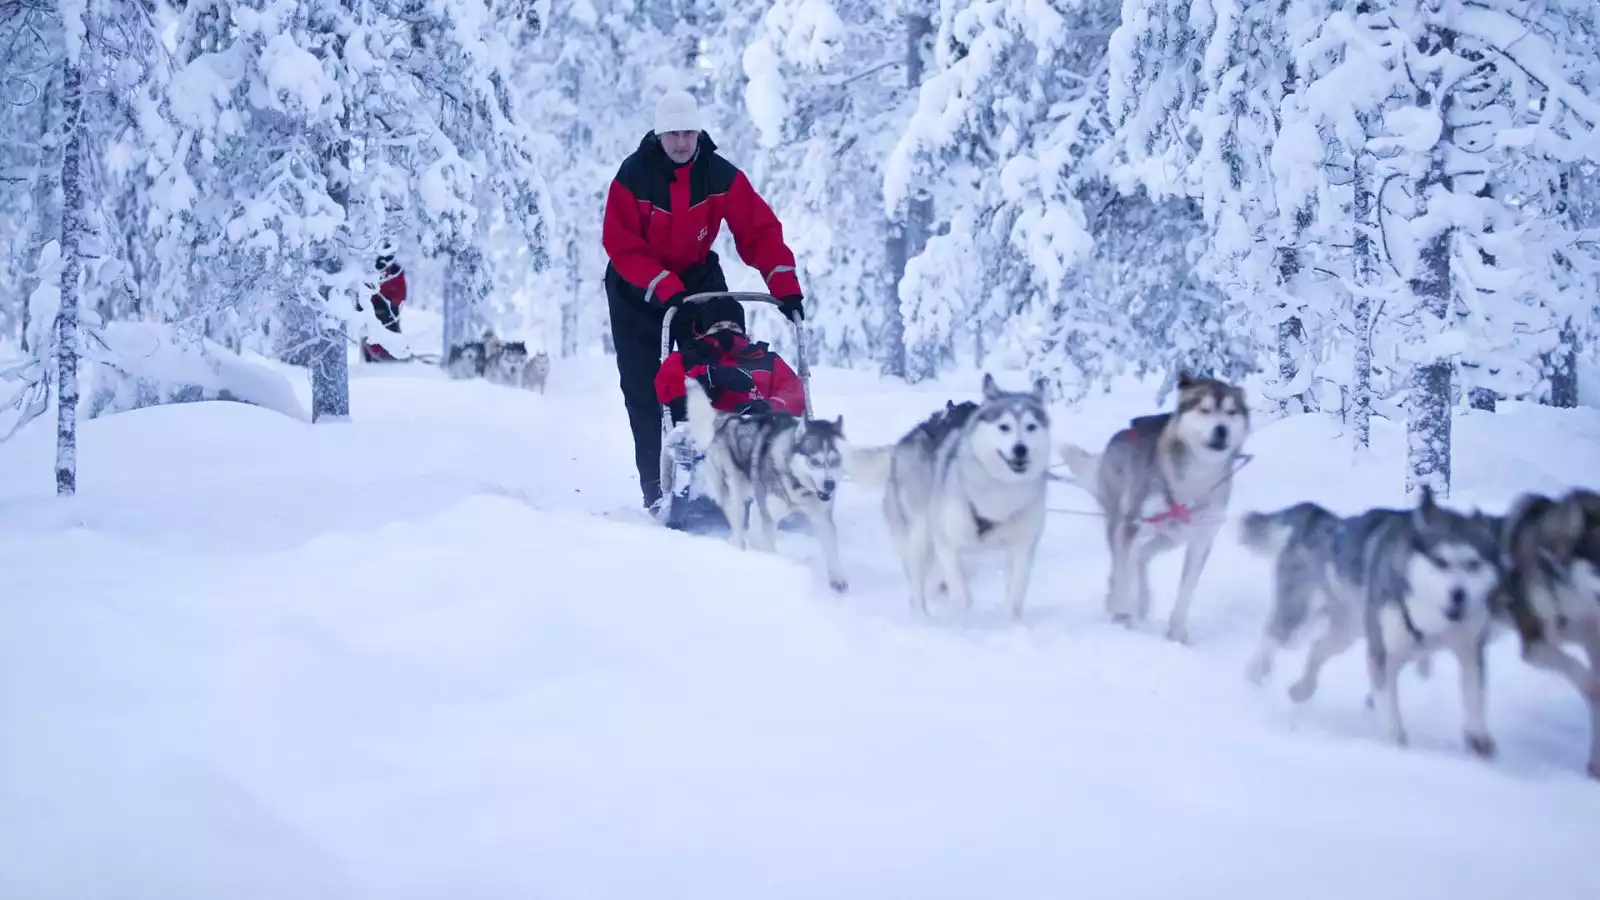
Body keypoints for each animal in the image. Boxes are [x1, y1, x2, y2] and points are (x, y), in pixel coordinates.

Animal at [681, 373, 851, 589]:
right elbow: (768, 543)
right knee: (736, 520)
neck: (797, 485)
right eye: (815, 461)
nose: (830, 485)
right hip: (735, 492)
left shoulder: (822, 516)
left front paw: (838, 579)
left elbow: (831, 548)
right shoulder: (769, 516)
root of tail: (727, 419)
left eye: (835, 461)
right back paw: (740, 549)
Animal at [844, 371, 1056, 614]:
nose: (1020, 449)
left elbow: (1014, 597)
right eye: (1004, 427)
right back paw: (922, 615)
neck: (1000, 489)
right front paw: (962, 614)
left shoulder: (1022, 549)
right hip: (920, 533)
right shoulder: (946, 542)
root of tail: (905, 440)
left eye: (1031, 426)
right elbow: (957, 590)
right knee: (918, 583)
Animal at [1056, 373, 1254, 643]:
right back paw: (1123, 606)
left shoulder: (1200, 542)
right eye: (1204, 410)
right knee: (1123, 564)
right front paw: (1122, 614)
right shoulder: (1131, 525)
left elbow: (1185, 593)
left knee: (1140, 557)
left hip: (1170, 537)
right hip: (1124, 523)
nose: (1221, 429)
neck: (1193, 480)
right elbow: (1123, 575)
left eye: (1231, 412)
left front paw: (1176, 635)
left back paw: (1142, 603)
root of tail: (1121, 434)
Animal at [1235, 483, 1510, 755]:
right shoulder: (1383, 653)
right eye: (1440, 561)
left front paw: (1478, 736)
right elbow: (1389, 708)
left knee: (1318, 648)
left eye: (1474, 564)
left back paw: (1302, 689)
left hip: (1347, 632)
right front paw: (1396, 744)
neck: (1432, 618)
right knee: (1271, 639)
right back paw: (1254, 677)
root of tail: (1320, 517)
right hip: (1297, 618)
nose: (1458, 594)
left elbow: (1474, 694)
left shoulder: (1470, 649)